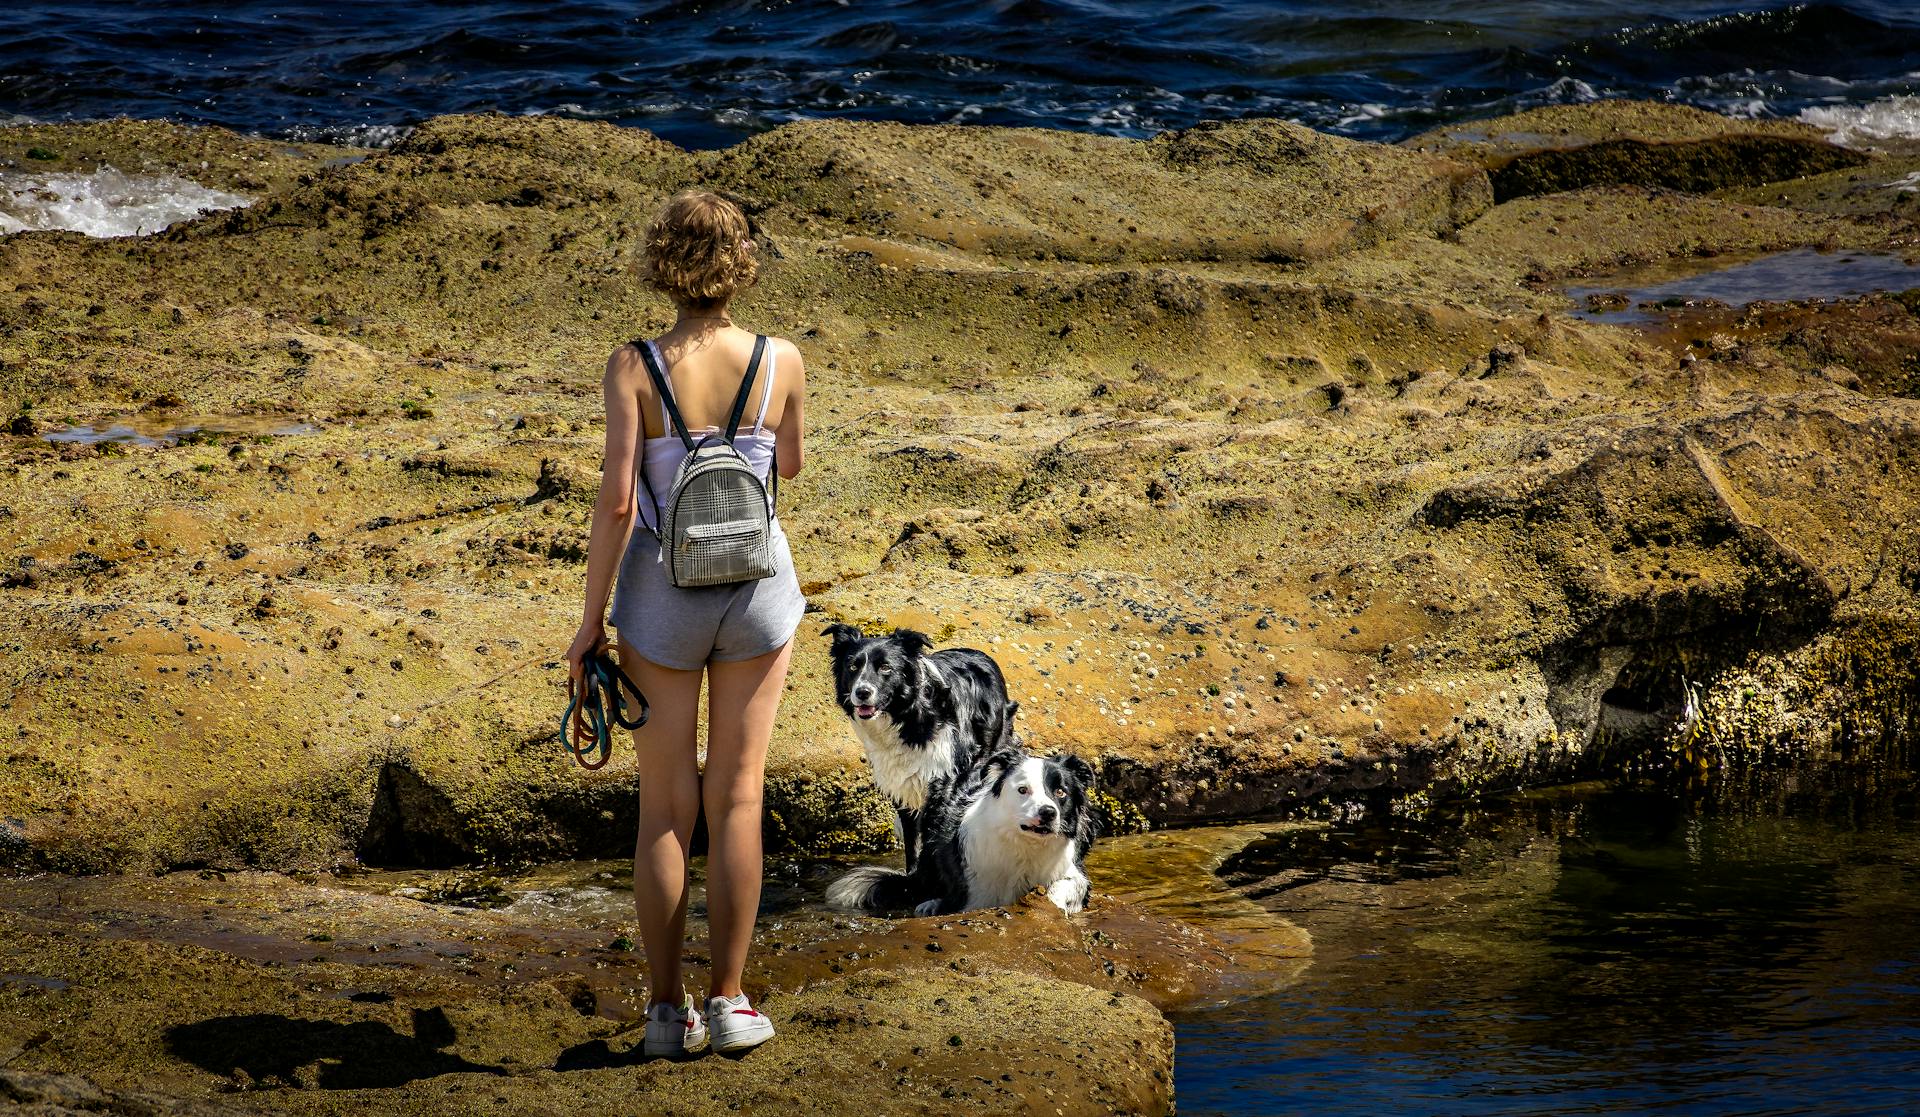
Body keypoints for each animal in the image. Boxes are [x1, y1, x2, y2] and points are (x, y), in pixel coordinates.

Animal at [821, 621, 1013, 875]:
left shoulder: (944, 781)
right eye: (853, 666)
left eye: (885, 667)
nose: (862, 692)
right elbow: (913, 844)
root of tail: (980, 654)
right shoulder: (903, 787)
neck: (909, 716)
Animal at [821, 752, 1098, 921]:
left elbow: (1066, 886)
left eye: (1061, 792)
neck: (1025, 844)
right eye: (1023, 790)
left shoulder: (1070, 870)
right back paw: (931, 903)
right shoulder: (978, 892)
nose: (1048, 813)